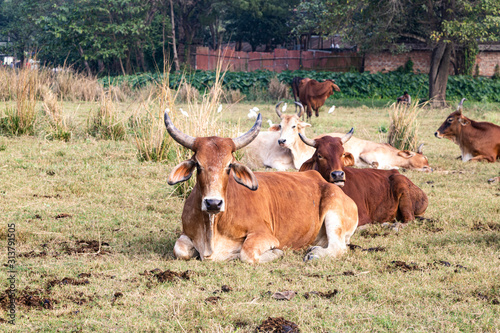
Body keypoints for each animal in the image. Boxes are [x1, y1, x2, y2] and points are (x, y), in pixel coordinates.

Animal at [166, 111, 358, 262]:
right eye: (198, 165)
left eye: (229, 166)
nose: (213, 203)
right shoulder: (185, 235)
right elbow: (180, 249)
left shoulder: (264, 235)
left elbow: (247, 253)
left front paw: (277, 253)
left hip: (334, 213)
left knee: (338, 247)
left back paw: (314, 254)